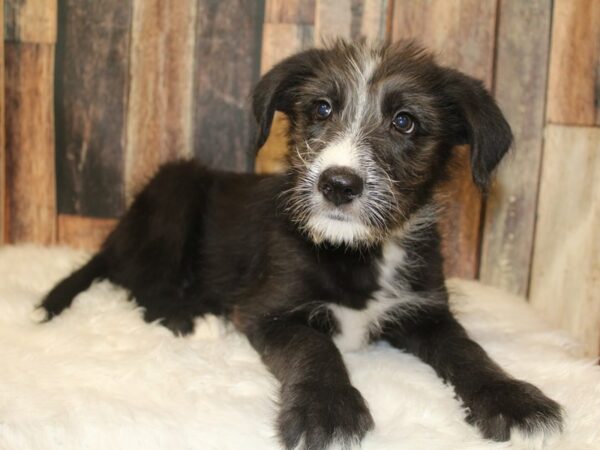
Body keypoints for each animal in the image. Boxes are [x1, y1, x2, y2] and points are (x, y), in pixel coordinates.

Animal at [36, 41, 564, 446]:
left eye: (405, 122)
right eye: (321, 109)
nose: (338, 184)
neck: (359, 250)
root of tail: (116, 235)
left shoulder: (426, 309)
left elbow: (468, 350)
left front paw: (514, 399)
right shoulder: (267, 310)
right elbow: (315, 346)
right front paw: (326, 410)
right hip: (175, 189)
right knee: (143, 285)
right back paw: (189, 317)